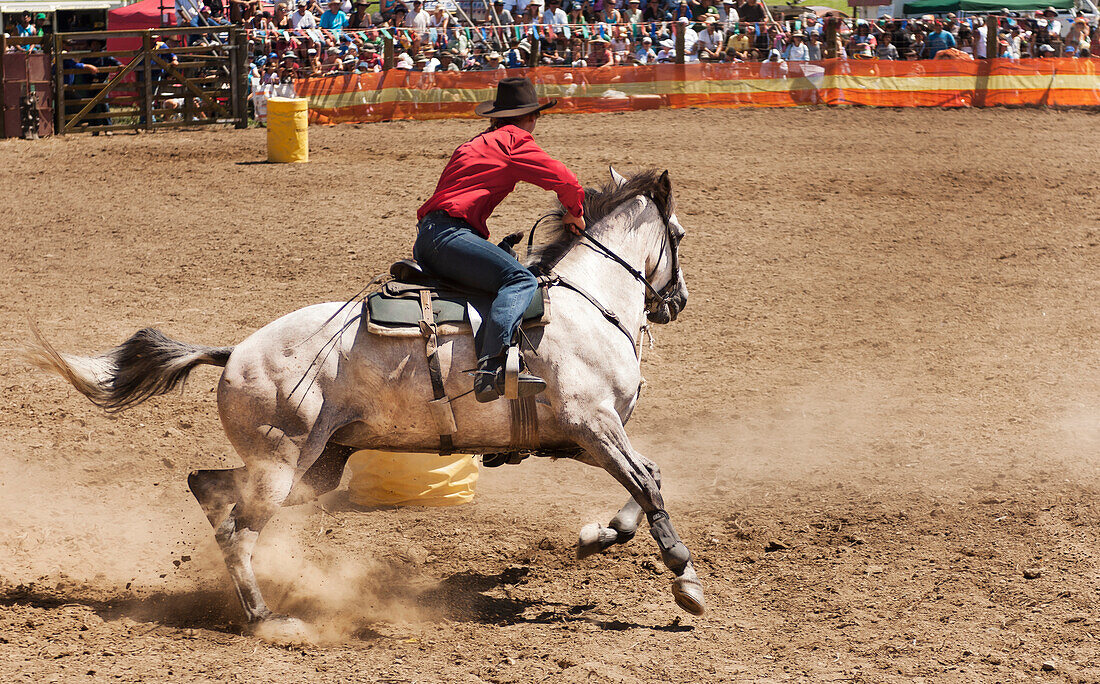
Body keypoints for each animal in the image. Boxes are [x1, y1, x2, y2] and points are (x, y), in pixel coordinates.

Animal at [25, 167, 704, 642]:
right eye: (677, 235)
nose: (676, 302)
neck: (587, 306)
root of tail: (236, 350)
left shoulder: (576, 437)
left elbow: (648, 478)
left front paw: (601, 535)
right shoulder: (594, 424)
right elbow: (648, 482)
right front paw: (685, 579)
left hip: (313, 468)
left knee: (209, 488)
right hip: (282, 467)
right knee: (238, 530)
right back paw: (269, 621)